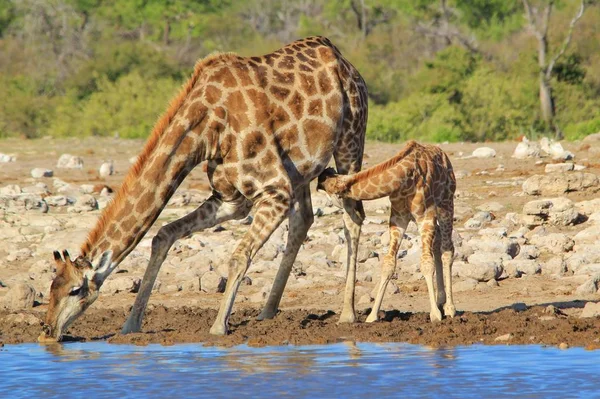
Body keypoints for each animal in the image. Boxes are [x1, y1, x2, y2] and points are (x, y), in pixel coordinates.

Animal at [38, 35, 366, 340]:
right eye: (51, 286)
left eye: (76, 290)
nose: (47, 330)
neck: (207, 128)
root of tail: (344, 61)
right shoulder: (231, 199)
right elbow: (163, 235)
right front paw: (130, 325)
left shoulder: (274, 190)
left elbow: (238, 255)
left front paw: (218, 327)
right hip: (301, 171)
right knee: (303, 221)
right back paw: (267, 313)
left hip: (350, 142)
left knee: (353, 217)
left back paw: (348, 314)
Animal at [318, 140, 454, 322]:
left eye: (331, 189)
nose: (320, 178)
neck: (404, 177)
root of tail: (444, 155)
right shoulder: (398, 218)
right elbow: (388, 264)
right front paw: (372, 316)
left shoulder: (424, 216)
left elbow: (426, 262)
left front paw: (435, 315)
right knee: (438, 241)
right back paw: (441, 301)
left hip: (446, 203)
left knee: (447, 249)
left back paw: (450, 308)